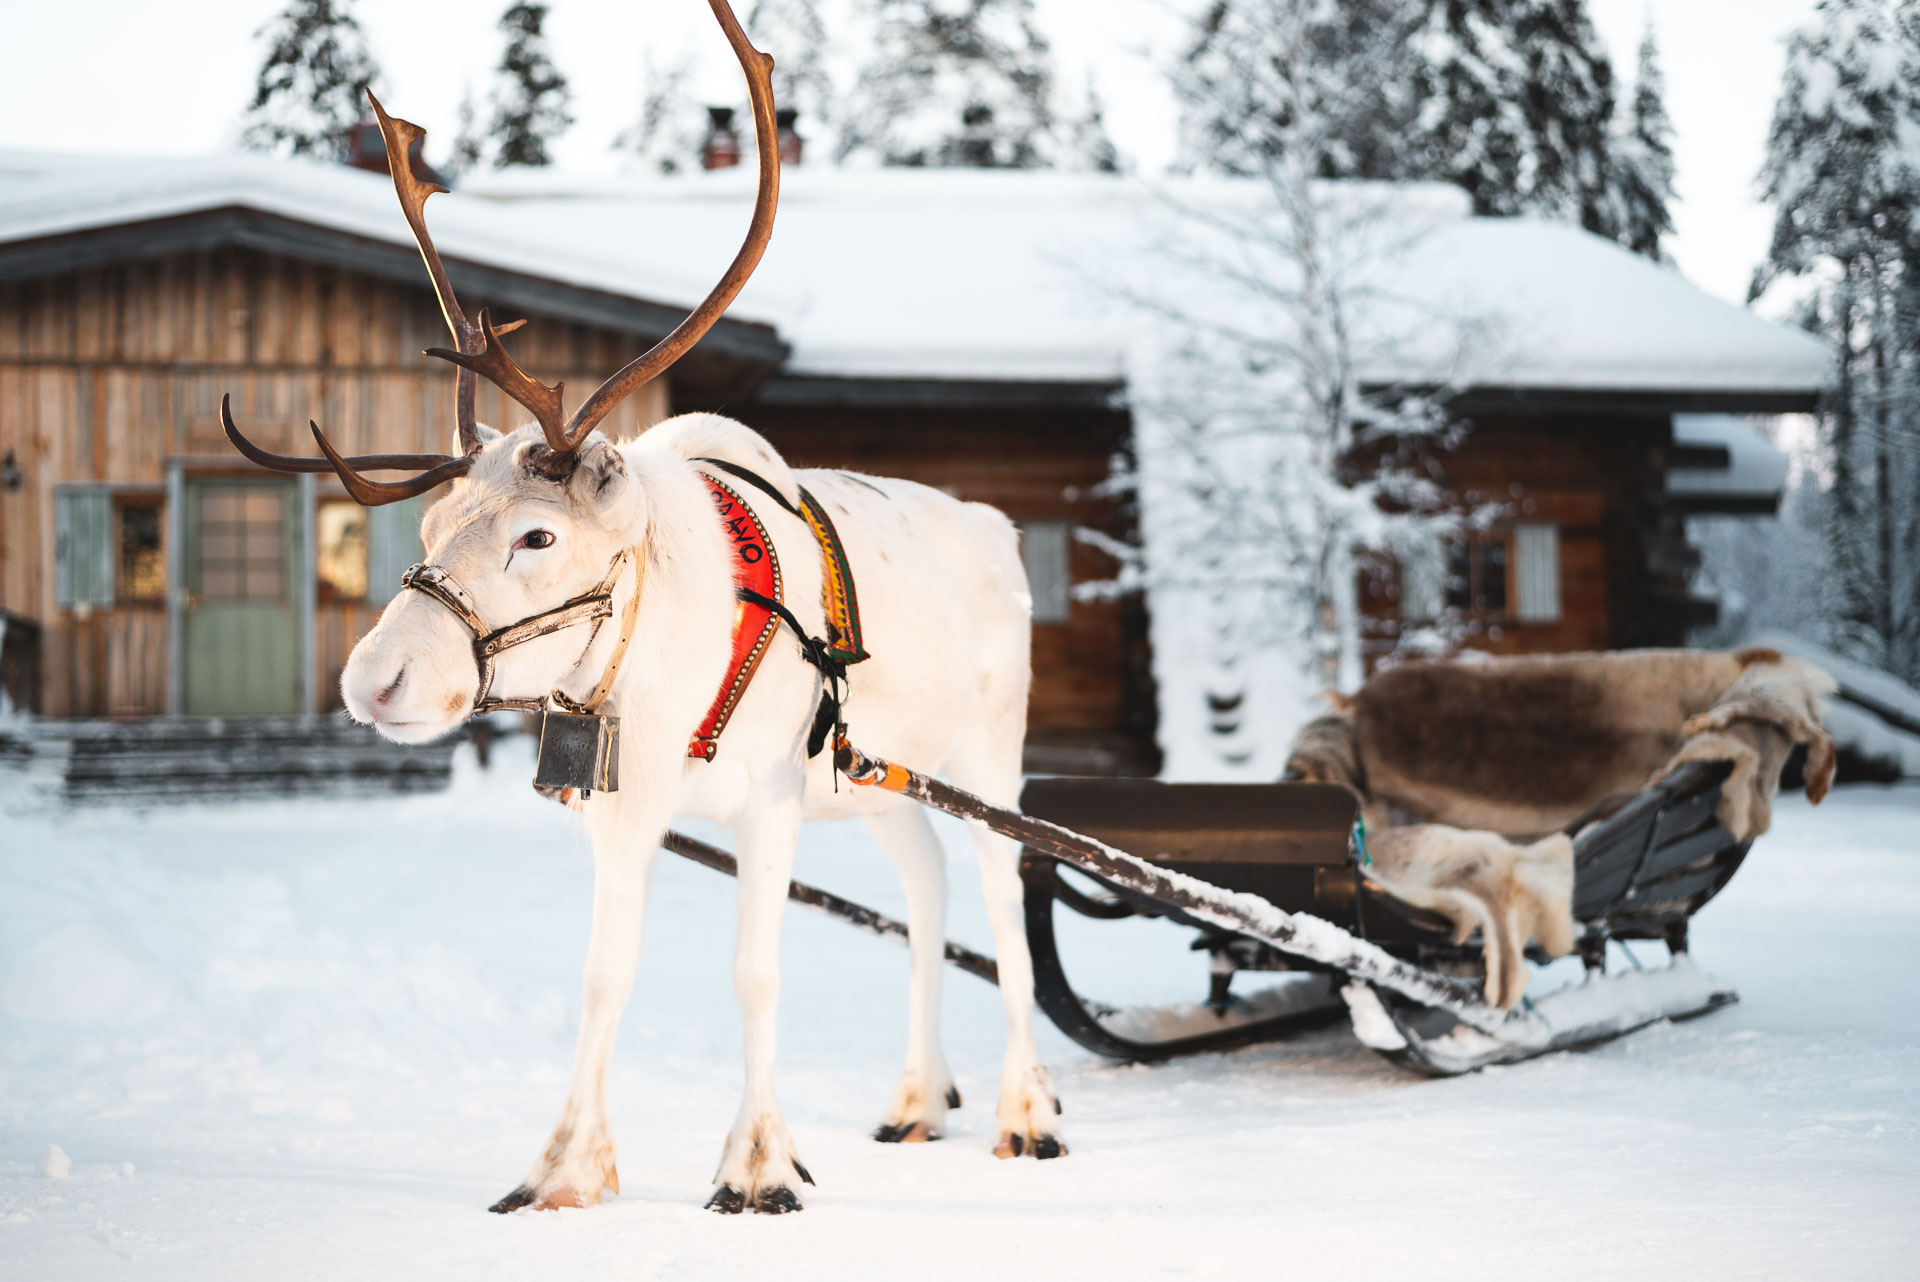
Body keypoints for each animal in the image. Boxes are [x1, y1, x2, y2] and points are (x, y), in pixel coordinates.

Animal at [219, 0, 1064, 1216]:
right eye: (429, 531)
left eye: (536, 536)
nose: (371, 680)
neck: (657, 671)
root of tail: (999, 530)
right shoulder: (624, 808)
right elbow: (602, 974)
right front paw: (565, 1169)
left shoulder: (769, 799)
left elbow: (756, 973)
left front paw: (759, 1165)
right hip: (877, 779)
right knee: (929, 894)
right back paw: (917, 1097)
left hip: (988, 756)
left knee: (1004, 903)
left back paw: (1026, 1112)